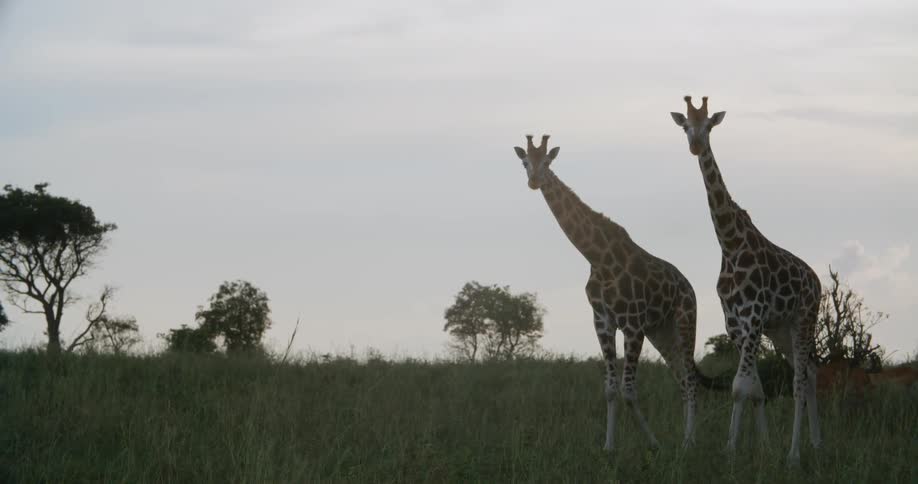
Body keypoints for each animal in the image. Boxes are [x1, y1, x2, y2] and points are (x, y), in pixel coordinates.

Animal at [512, 134, 714, 451]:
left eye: (547, 161)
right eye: (525, 162)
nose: (534, 181)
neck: (598, 257)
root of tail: (688, 285)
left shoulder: (632, 324)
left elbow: (628, 390)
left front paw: (654, 444)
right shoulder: (603, 322)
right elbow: (609, 389)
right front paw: (608, 447)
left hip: (684, 320)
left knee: (691, 381)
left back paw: (688, 443)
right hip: (661, 331)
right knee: (682, 381)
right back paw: (686, 439)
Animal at [670, 96, 822, 464]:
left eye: (709, 125)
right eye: (685, 126)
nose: (696, 146)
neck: (729, 243)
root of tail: (818, 282)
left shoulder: (752, 317)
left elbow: (740, 386)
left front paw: (732, 450)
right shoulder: (735, 323)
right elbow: (753, 386)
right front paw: (755, 447)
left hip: (804, 319)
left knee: (800, 380)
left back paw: (795, 454)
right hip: (781, 329)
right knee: (810, 372)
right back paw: (815, 444)